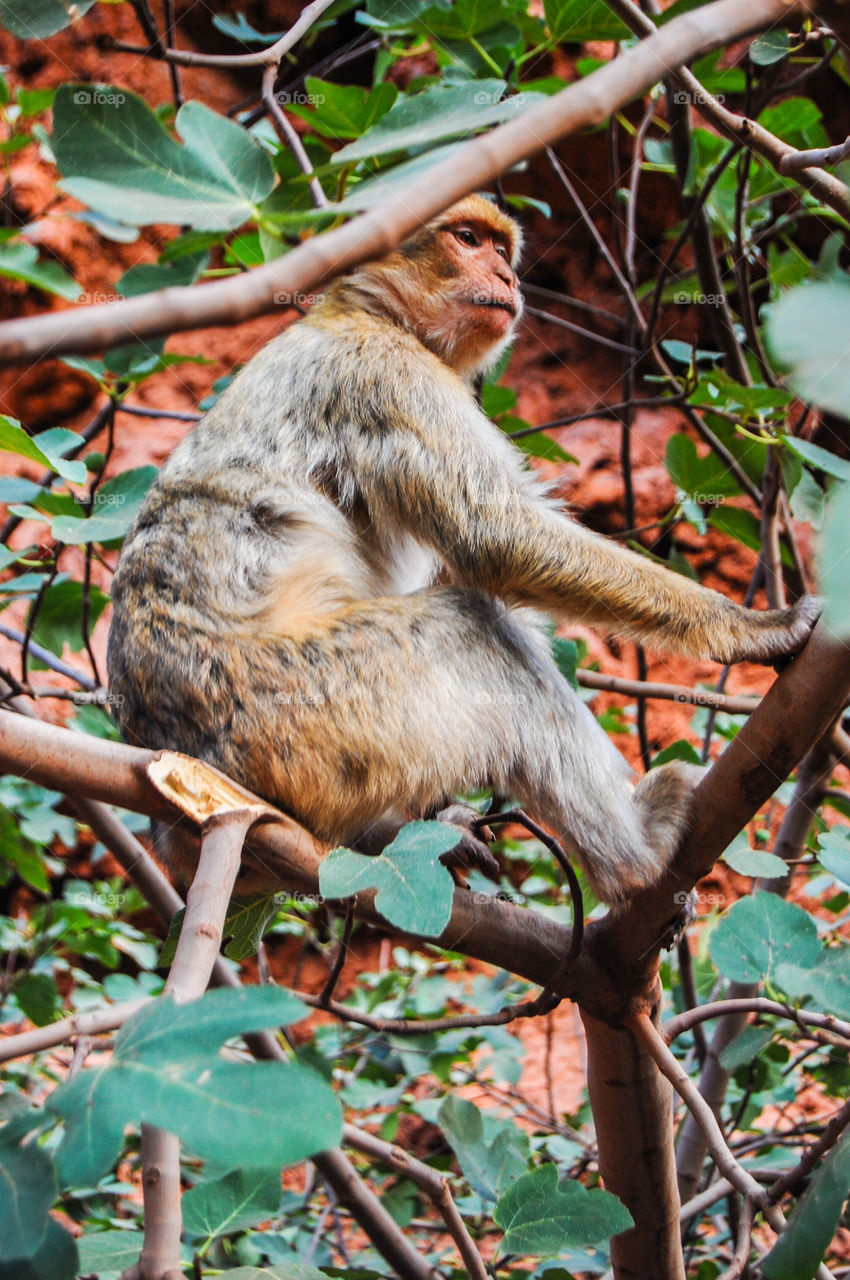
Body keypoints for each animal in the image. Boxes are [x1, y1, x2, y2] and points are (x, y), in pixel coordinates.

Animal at [106, 194, 819, 906]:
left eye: (501, 249)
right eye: (468, 239)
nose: (506, 277)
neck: (372, 311)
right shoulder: (388, 371)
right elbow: (496, 537)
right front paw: (752, 628)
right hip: (293, 712)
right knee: (476, 630)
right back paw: (637, 858)